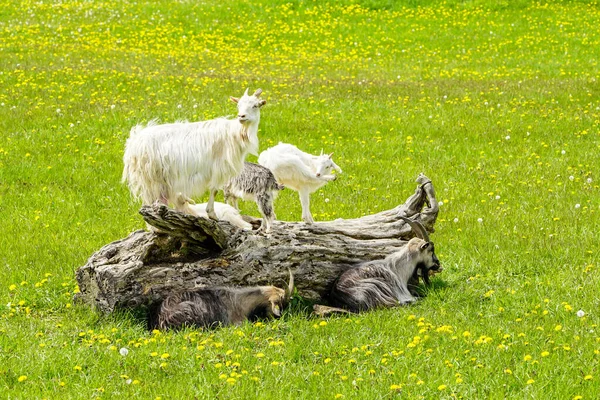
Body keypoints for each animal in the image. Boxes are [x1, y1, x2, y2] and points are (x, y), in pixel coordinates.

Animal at [120, 88, 266, 220]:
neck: (236, 132)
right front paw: (211, 214)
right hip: (151, 177)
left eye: (255, 105)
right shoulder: (219, 167)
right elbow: (214, 190)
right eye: (238, 105)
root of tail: (133, 143)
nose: (241, 116)